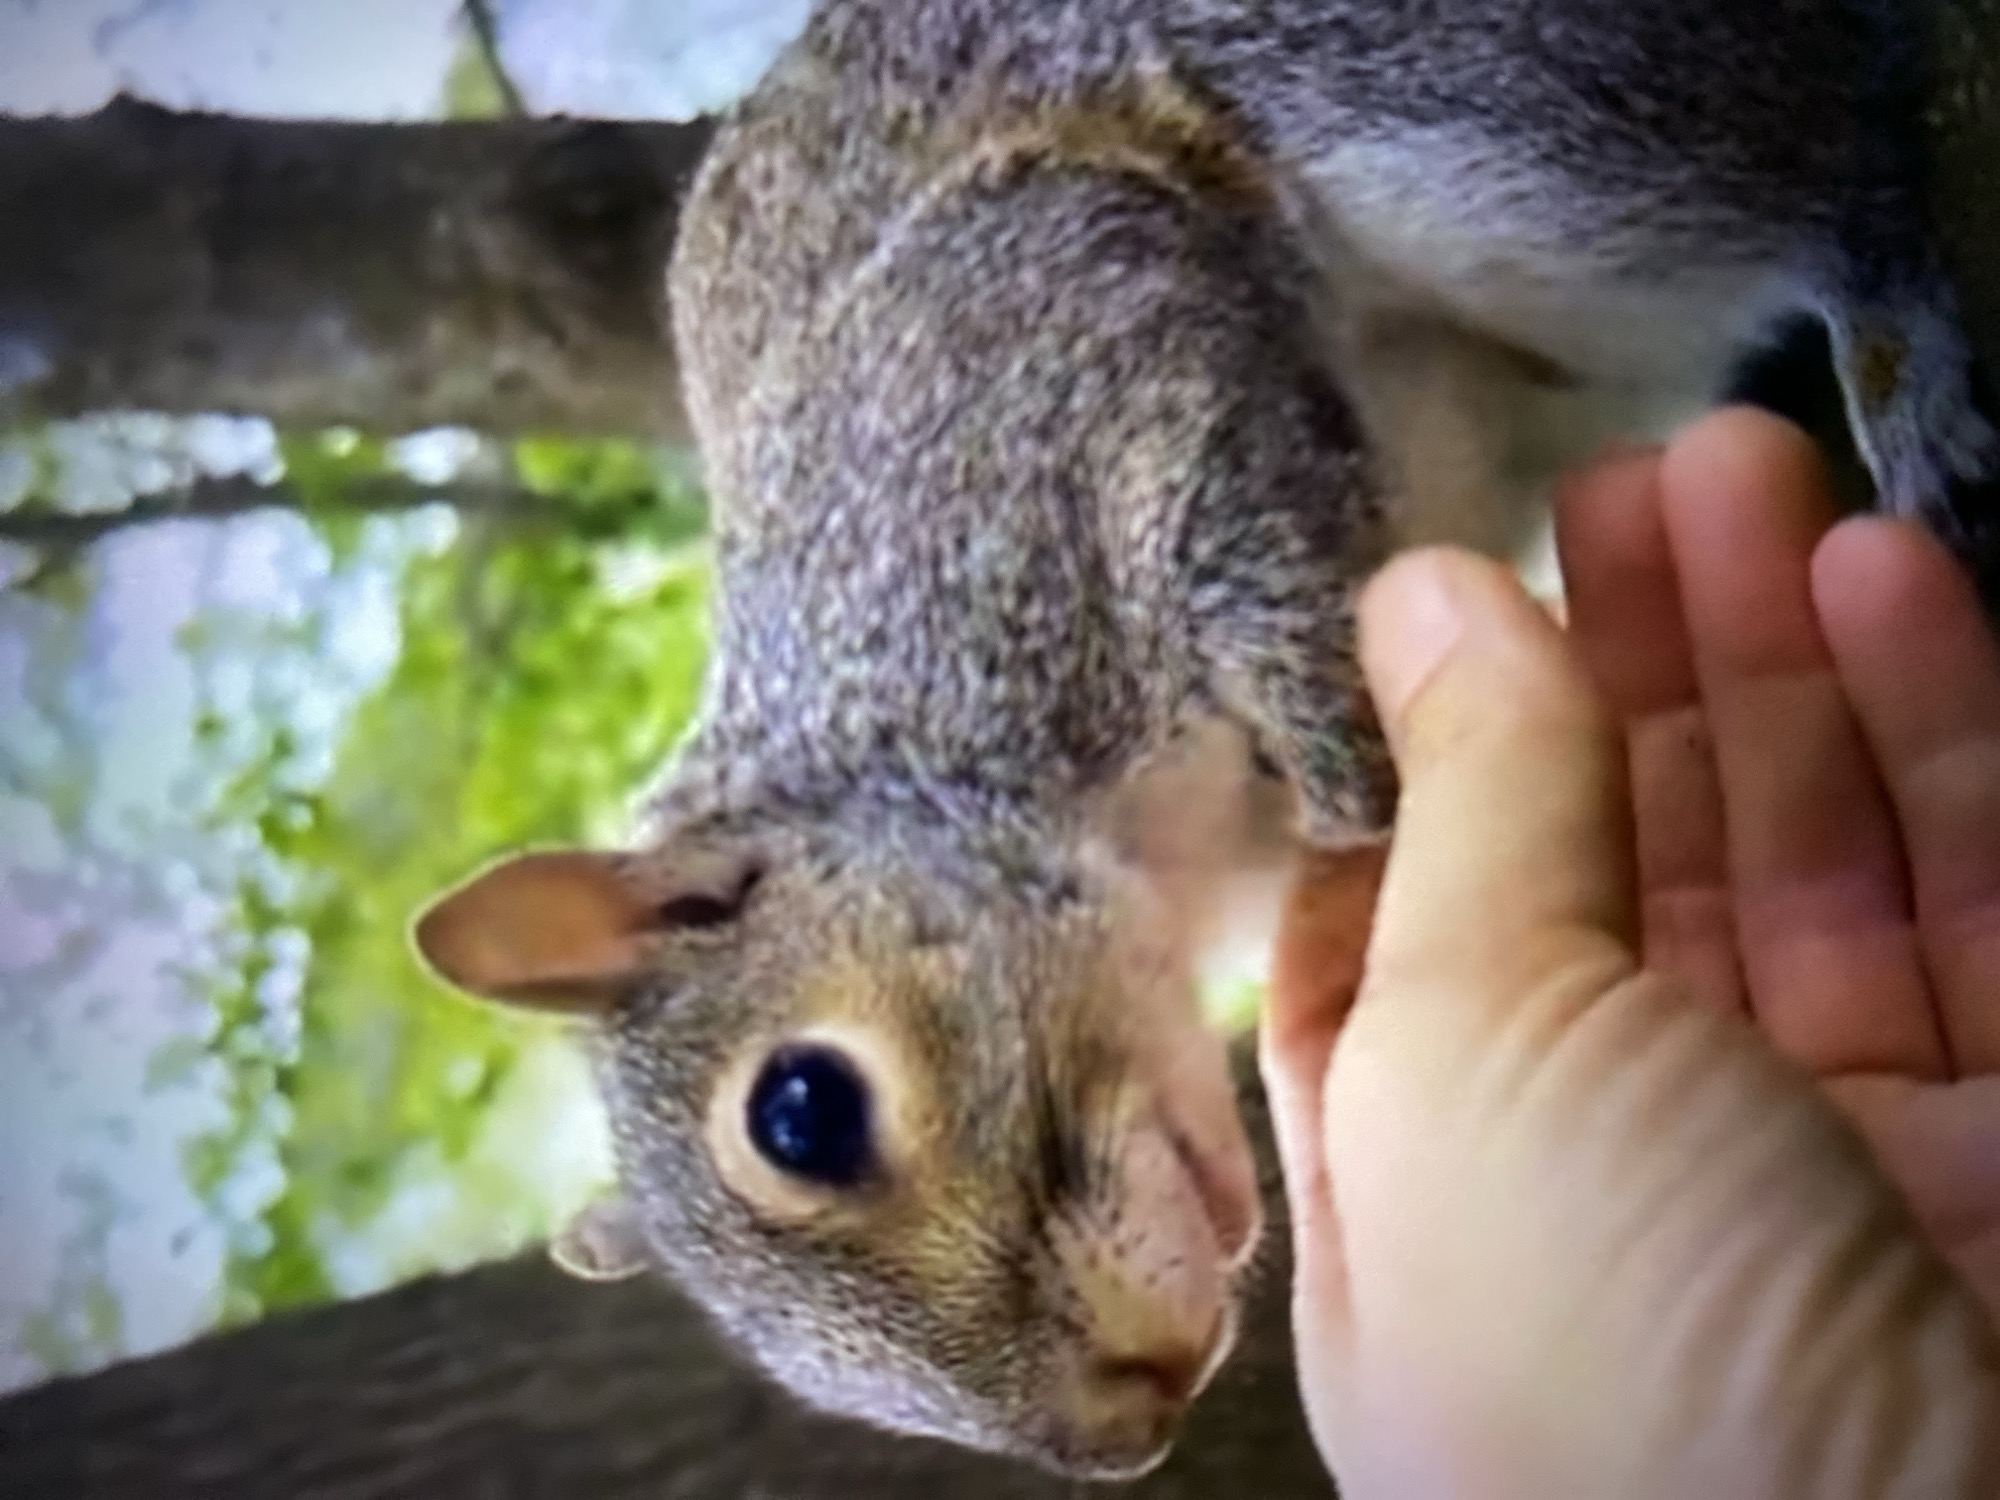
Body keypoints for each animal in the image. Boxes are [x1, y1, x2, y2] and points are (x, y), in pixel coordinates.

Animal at [413, 0, 1999, 1481]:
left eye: (799, 1111)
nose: (1129, 1428)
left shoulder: (1077, 349)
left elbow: (1255, 563)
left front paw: (1369, 783)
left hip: (1478, 124)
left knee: (1831, 146)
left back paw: (1898, 333)